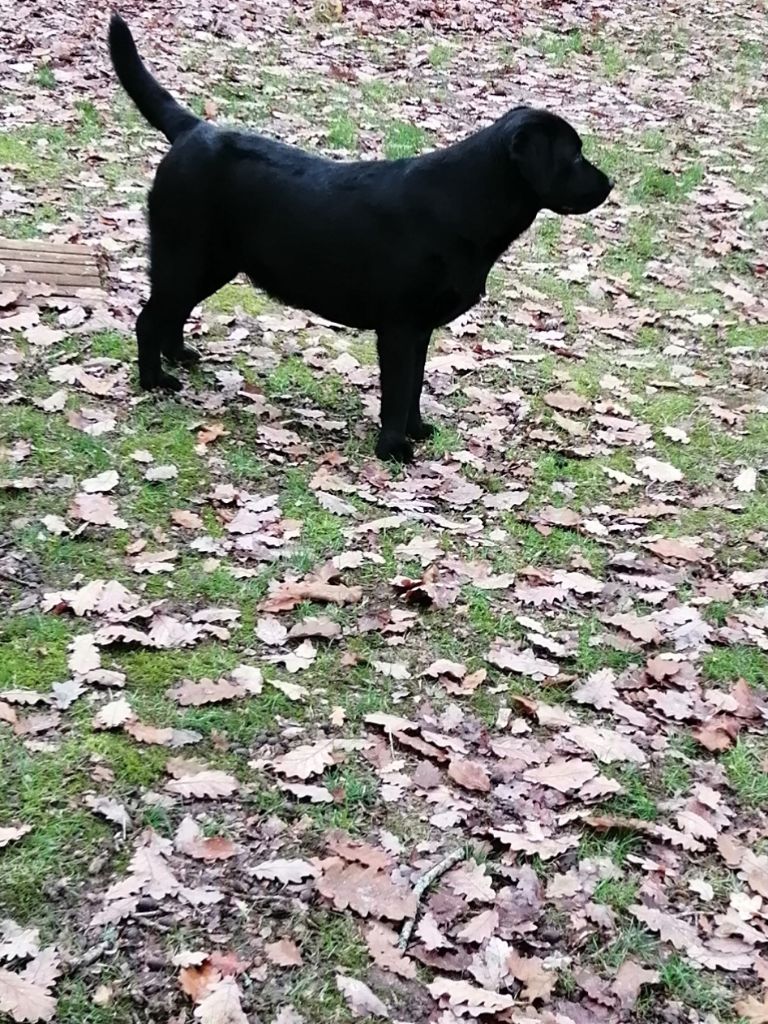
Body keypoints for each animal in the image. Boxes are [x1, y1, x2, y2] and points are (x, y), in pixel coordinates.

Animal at [108, 14, 614, 462]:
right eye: (574, 156)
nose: (609, 183)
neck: (465, 201)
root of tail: (193, 129)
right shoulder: (399, 326)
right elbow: (398, 390)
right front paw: (394, 449)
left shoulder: (421, 329)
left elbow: (415, 387)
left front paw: (417, 430)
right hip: (184, 256)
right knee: (149, 319)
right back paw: (155, 381)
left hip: (210, 263)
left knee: (173, 314)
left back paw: (179, 357)